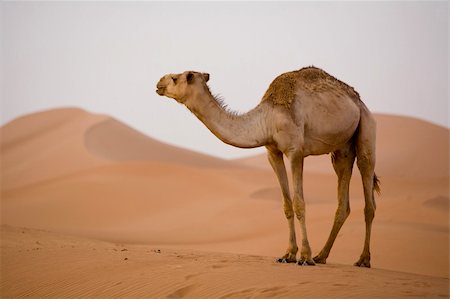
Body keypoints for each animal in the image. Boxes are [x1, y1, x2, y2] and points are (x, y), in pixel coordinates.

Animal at [156, 67, 380, 268]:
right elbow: (286, 205)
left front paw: (304, 257)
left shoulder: (295, 151)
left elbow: (299, 203)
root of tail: (359, 101)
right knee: (343, 200)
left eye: (175, 78)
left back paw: (363, 260)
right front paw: (288, 255)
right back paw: (322, 256)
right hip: (342, 149)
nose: (158, 83)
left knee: (368, 191)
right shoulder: (272, 151)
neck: (267, 118)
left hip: (366, 129)